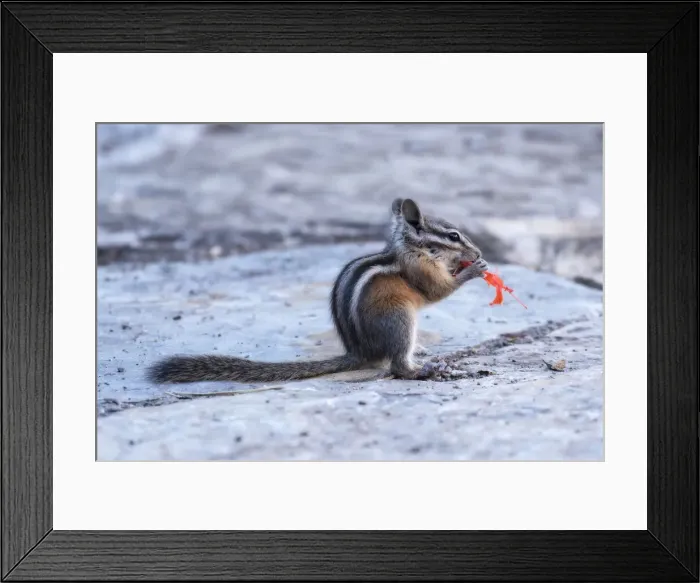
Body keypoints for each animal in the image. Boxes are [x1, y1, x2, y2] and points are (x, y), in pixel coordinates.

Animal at [147, 198, 487, 384]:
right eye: (453, 236)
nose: (478, 250)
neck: (413, 249)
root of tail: (360, 353)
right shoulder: (419, 270)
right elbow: (437, 290)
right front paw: (474, 269)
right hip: (399, 318)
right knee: (398, 366)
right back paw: (424, 370)